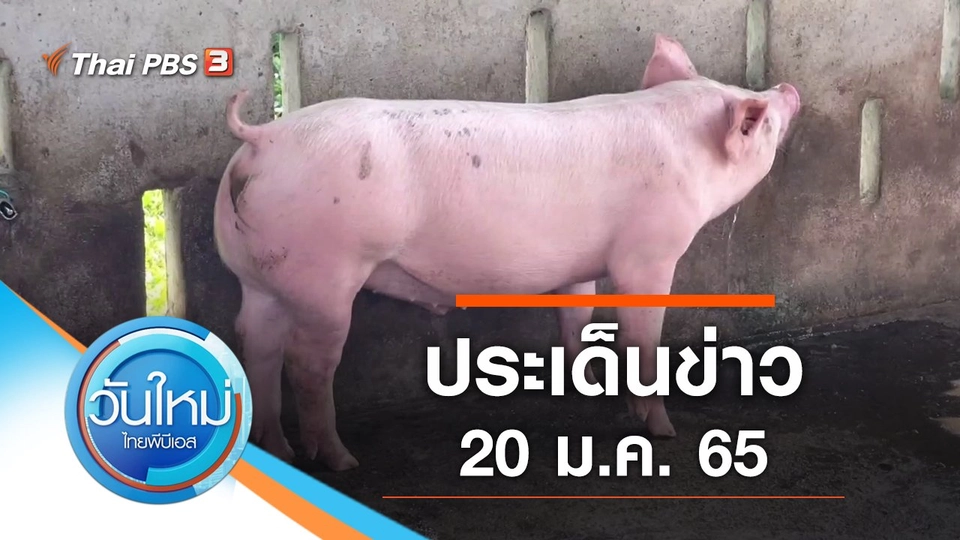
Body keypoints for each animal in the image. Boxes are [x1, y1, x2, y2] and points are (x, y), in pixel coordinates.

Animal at [213, 34, 800, 471]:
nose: (790, 87)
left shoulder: (579, 267)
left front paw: (586, 386)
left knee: (255, 342)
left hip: (257, 272)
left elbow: (578, 319)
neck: (686, 154)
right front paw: (663, 429)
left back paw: (277, 449)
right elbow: (639, 335)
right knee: (307, 362)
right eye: (762, 121)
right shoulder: (650, 253)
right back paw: (339, 460)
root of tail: (264, 138)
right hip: (327, 273)